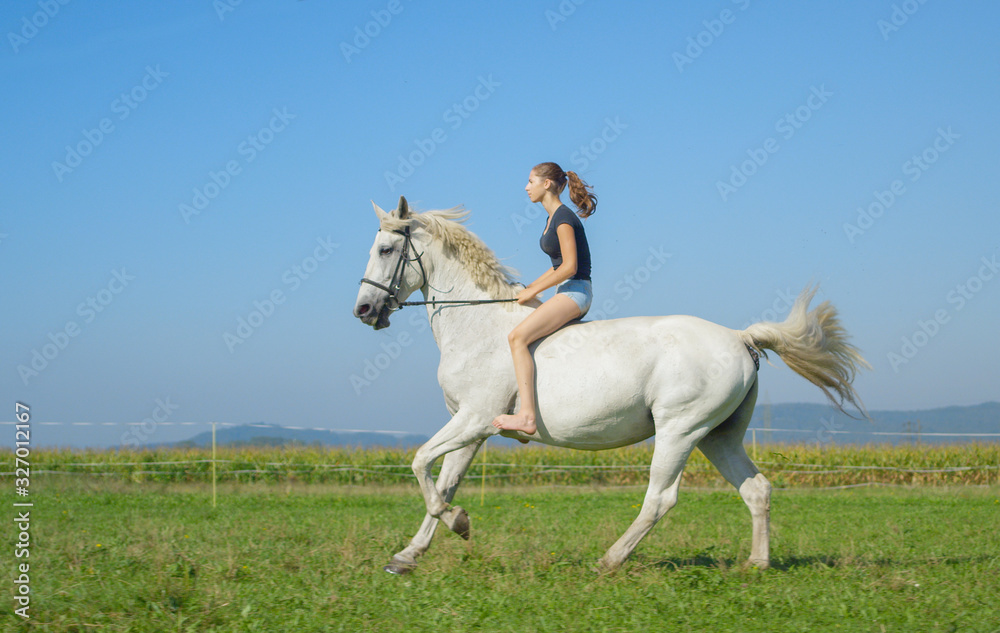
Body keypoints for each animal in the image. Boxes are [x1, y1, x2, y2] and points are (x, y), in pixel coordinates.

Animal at [354, 196, 868, 572]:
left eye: (385, 250)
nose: (363, 311)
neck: (477, 326)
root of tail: (740, 338)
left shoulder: (474, 419)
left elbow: (419, 462)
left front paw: (458, 525)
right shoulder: (471, 427)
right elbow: (444, 483)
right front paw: (408, 555)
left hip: (679, 431)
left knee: (661, 498)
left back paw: (611, 560)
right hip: (718, 436)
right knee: (756, 490)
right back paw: (756, 565)